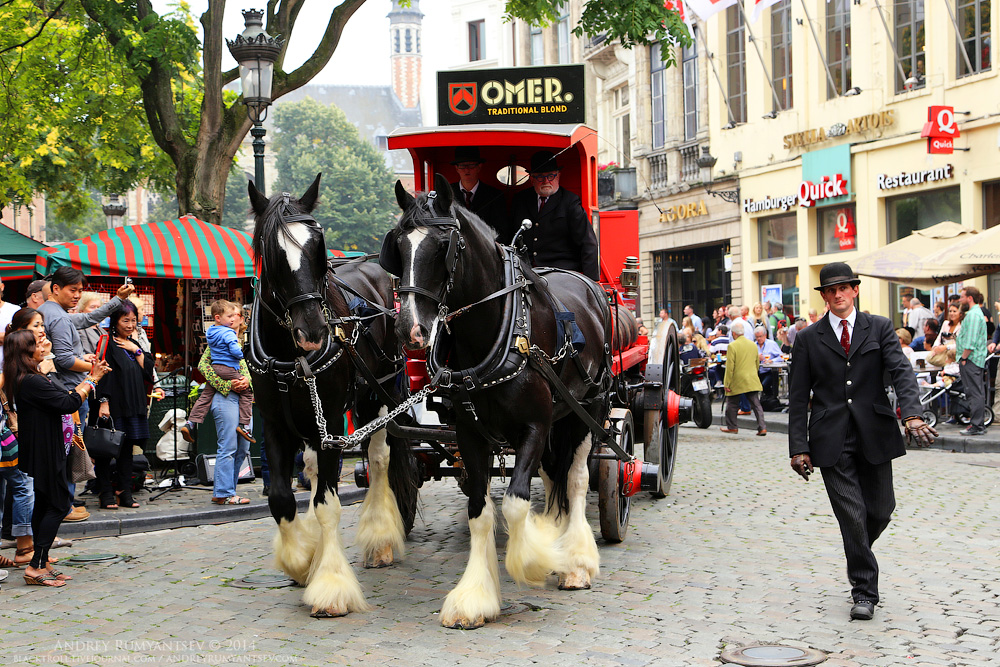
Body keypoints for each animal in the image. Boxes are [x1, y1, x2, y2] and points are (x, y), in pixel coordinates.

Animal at [254, 175, 422, 620]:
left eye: (319, 245)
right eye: (271, 250)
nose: (313, 330)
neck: (289, 354)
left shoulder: (329, 419)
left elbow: (327, 504)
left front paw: (329, 585)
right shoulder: (274, 425)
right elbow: (281, 498)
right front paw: (300, 561)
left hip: (380, 393)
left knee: (379, 459)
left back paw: (381, 539)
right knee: (314, 471)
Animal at [388, 174, 608, 632]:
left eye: (443, 245)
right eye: (398, 245)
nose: (410, 329)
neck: (495, 330)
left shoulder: (534, 427)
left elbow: (516, 501)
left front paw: (536, 561)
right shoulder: (470, 433)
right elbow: (480, 509)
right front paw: (474, 596)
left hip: (589, 409)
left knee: (576, 478)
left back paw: (577, 561)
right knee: (554, 476)